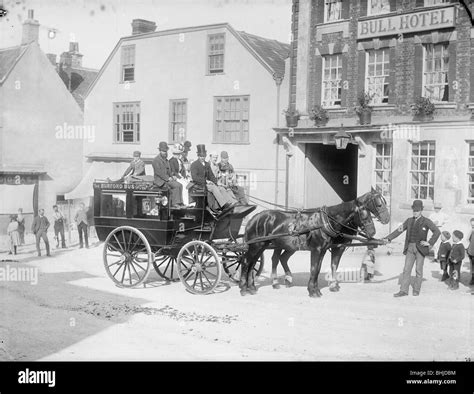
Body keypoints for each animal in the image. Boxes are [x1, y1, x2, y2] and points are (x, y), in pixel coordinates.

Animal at [239, 189, 390, 298]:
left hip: (263, 245)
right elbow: (314, 268)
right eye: (378, 204)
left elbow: (319, 269)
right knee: (247, 262)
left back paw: (253, 287)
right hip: (257, 245)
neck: (325, 222)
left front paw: (318, 289)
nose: (373, 231)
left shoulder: (325, 249)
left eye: (370, 213)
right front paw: (313, 291)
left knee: (256, 262)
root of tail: (253, 218)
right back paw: (244, 288)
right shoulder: (317, 249)